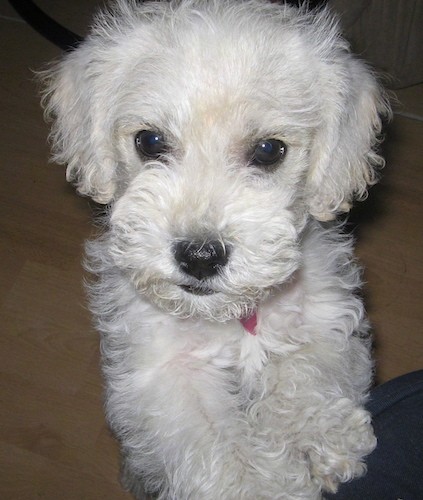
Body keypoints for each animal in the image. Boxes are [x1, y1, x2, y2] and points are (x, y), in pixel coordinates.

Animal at [41, 1, 392, 498]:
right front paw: (270, 487)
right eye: (150, 141)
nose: (200, 257)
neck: (232, 317)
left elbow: (306, 373)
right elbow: (227, 459)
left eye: (269, 150)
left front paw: (319, 436)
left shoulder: (324, 319)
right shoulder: (168, 376)